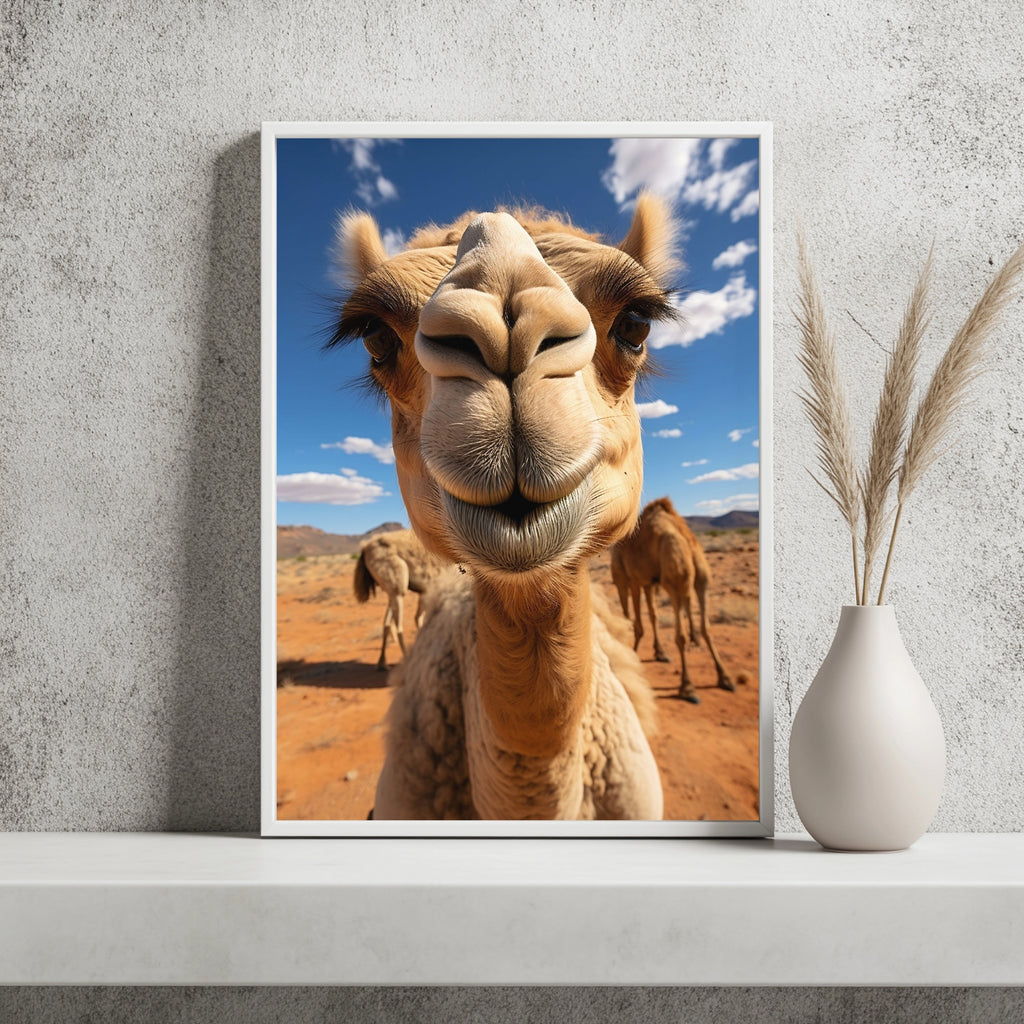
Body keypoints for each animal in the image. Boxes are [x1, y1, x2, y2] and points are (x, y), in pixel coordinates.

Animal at [353, 528, 450, 670]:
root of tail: (365, 548)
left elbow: (420, 619)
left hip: (392, 591)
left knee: (387, 623)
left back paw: (382, 663)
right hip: (398, 588)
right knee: (398, 626)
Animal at [610, 497, 734, 703]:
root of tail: (684, 536)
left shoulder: (629, 579)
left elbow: (633, 620)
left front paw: (632, 653)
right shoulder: (647, 581)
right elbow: (652, 616)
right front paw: (657, 652)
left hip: (672, 579)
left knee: (680, 635)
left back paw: (687, 687)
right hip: (700, 576)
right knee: (705, 627)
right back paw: (725, 678)